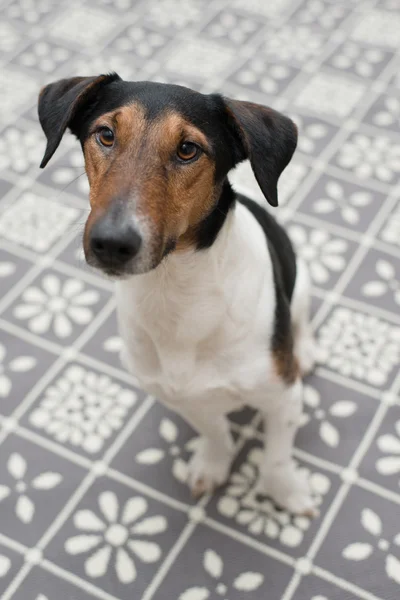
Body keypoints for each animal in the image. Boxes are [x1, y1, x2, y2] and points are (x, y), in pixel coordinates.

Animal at [39, 72, 318, 516]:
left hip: (301, 277)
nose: (111, 243)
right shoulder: (179, 396)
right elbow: (215, 431)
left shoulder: (283, 396)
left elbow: (276, 457)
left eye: (188, 149)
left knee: (301, 318)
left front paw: (287, 493)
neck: (175, 292)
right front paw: (214, 464)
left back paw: (305, 350)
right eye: (106, 135)